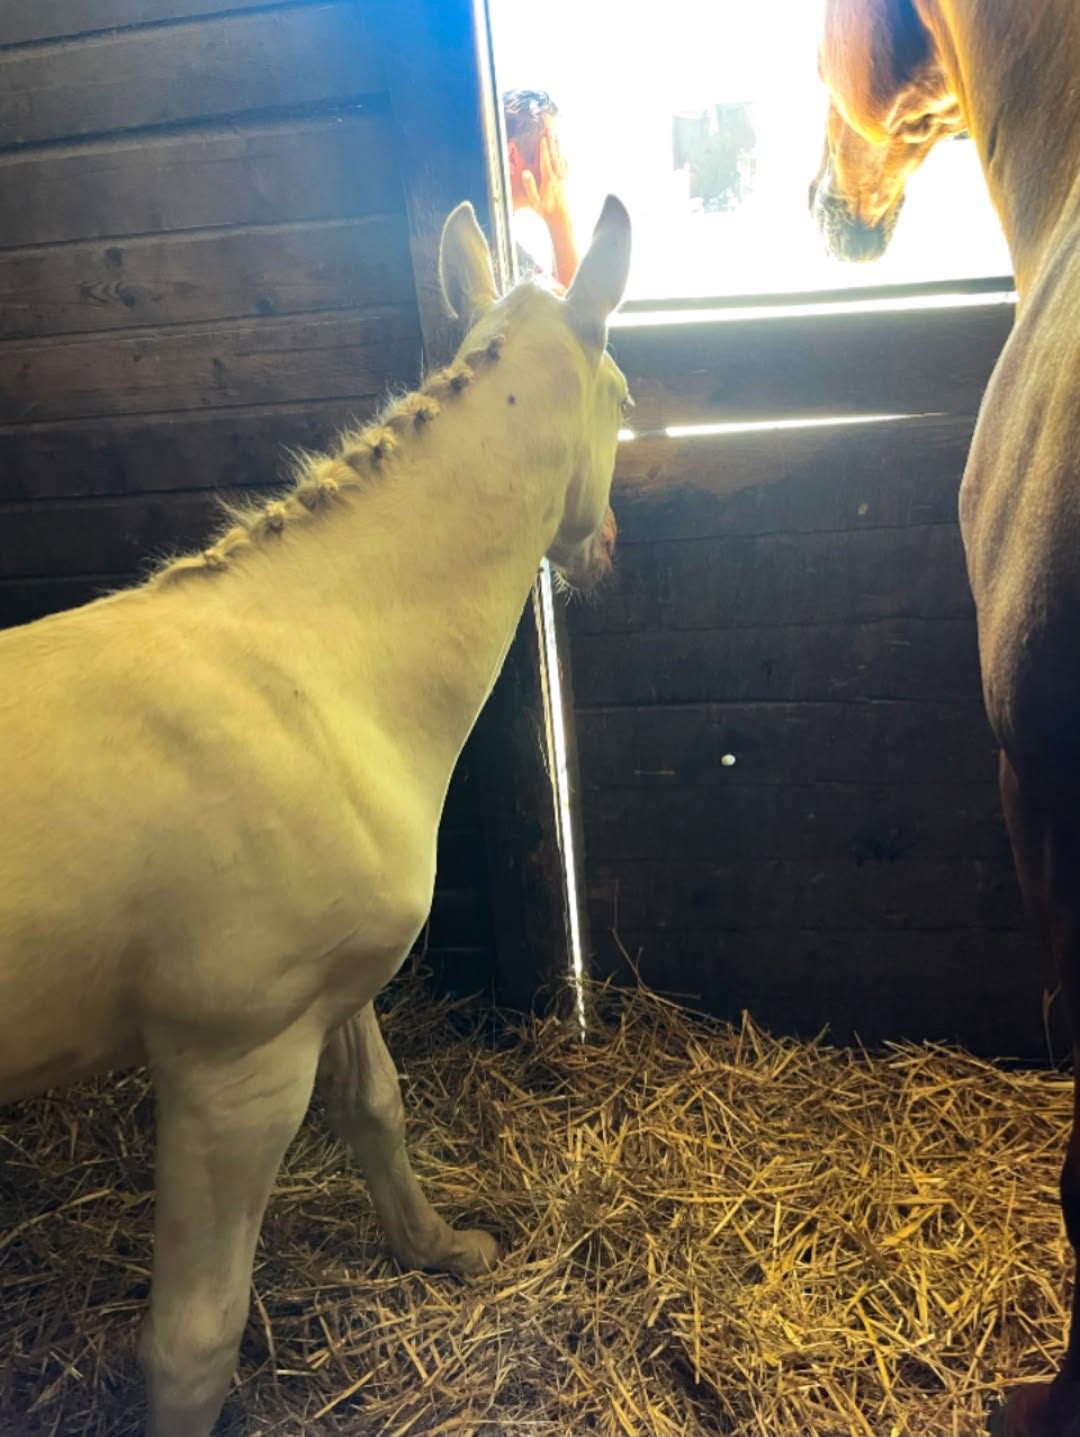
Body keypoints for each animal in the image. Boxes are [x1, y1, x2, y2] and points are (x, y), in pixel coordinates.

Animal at [0, 194, 631, 1437]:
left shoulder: (329, 992)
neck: (314, 674)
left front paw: (442, 1250)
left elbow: (377, 1108)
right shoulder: (233, 1069)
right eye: (627, 401)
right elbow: (191, 1343)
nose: (607, 549)